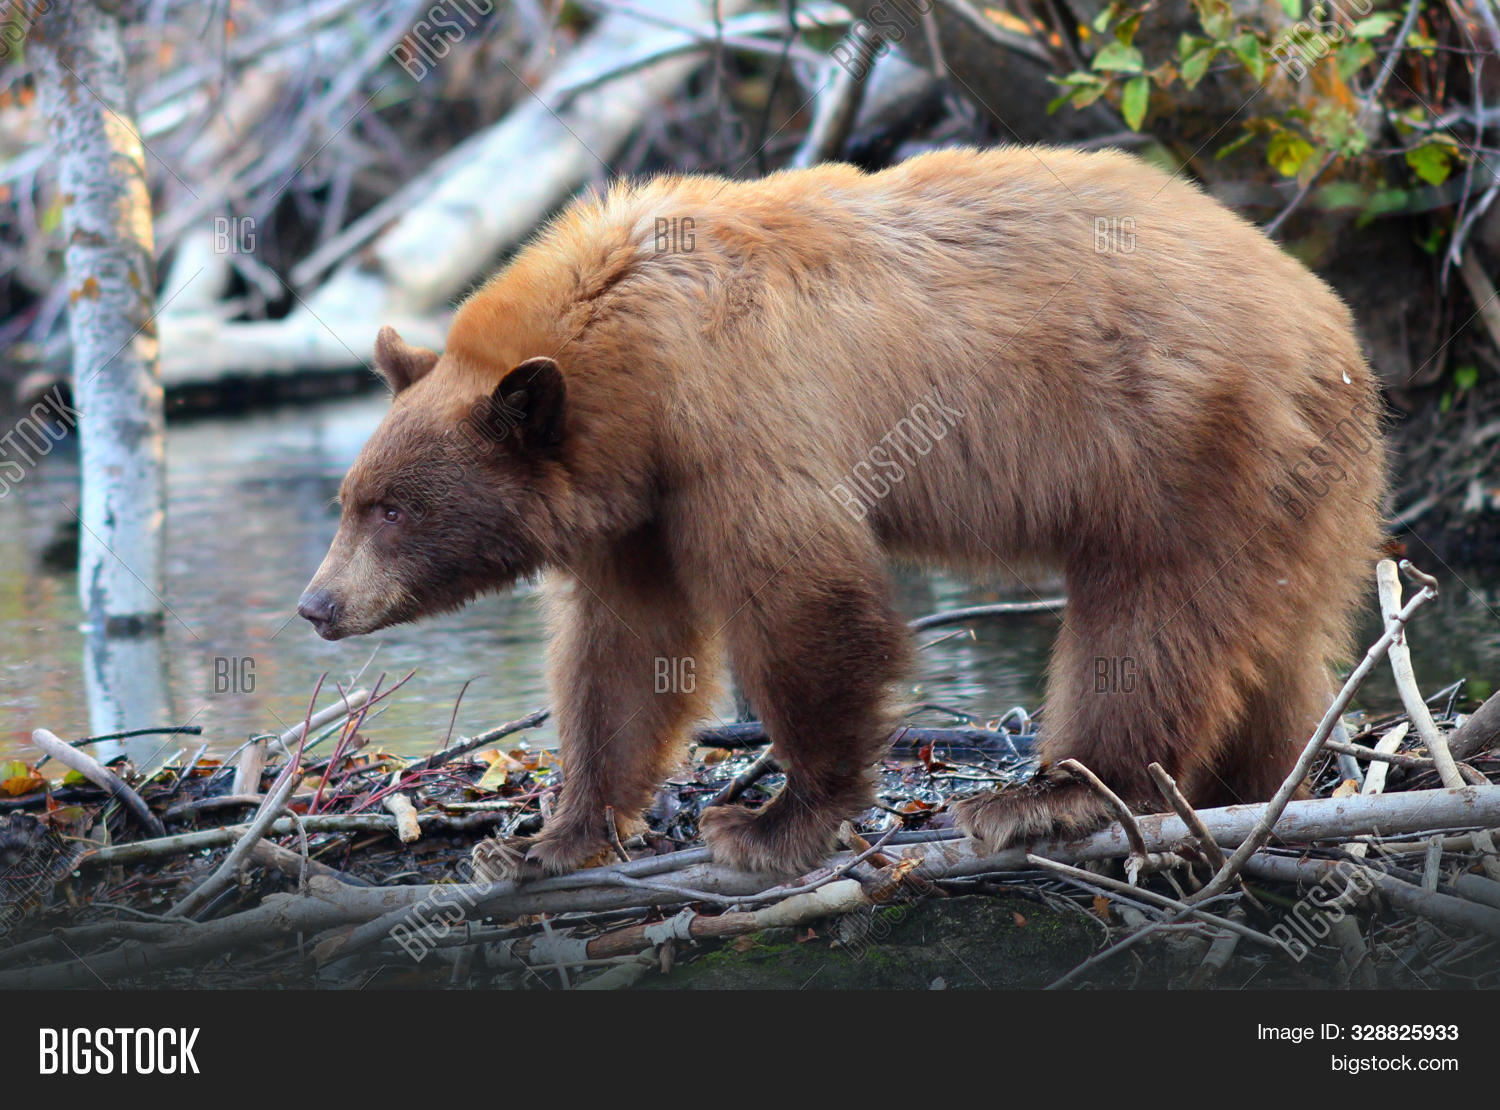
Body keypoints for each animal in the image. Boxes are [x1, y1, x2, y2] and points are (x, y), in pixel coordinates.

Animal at [298, 145, 1386, 878]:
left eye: (391, 510)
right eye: (353, 499)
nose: (316, 605)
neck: (632, 351)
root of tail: (1336, 330)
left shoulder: (739, 416)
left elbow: (800, 597)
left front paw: (774, 820)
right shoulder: (636, 497)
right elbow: (624, 648)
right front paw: (553, 836)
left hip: (1186, 443)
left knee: (1151, 618)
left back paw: (1053, 795)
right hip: (1299, 486)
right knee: (1279, 641)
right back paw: (1256, 786)